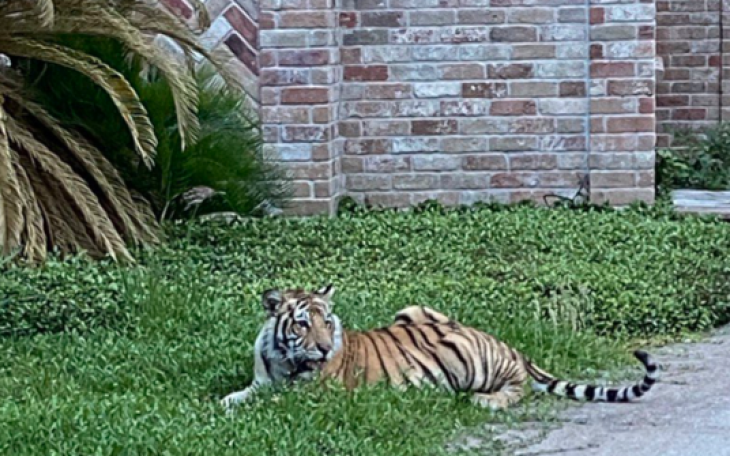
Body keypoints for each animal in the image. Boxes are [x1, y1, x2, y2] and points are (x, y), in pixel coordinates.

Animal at [220, 285, 659, 411]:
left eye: (327, 322)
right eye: (302, 323)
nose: (325, 349)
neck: (283, 359)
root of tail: (511, 346)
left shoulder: (314, 393)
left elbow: (272, 403)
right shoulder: (262, 381)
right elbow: (238, 395)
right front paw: (222, 402)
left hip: (471, 360)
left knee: (518, 389)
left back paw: (485, 401)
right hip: (413, 309)